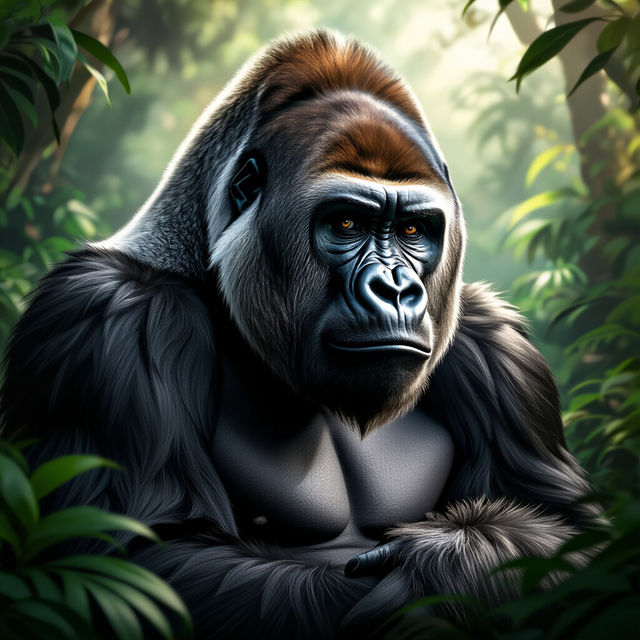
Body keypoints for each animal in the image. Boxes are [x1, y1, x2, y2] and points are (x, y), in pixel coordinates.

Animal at [1, 30, 596, 638]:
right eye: (346, 223)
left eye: (413, 230)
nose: (396, 289)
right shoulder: (111, 315)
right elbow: (133, 563)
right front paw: (438, 581)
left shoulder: (492, 344)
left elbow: (572, 531)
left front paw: (462, 564)